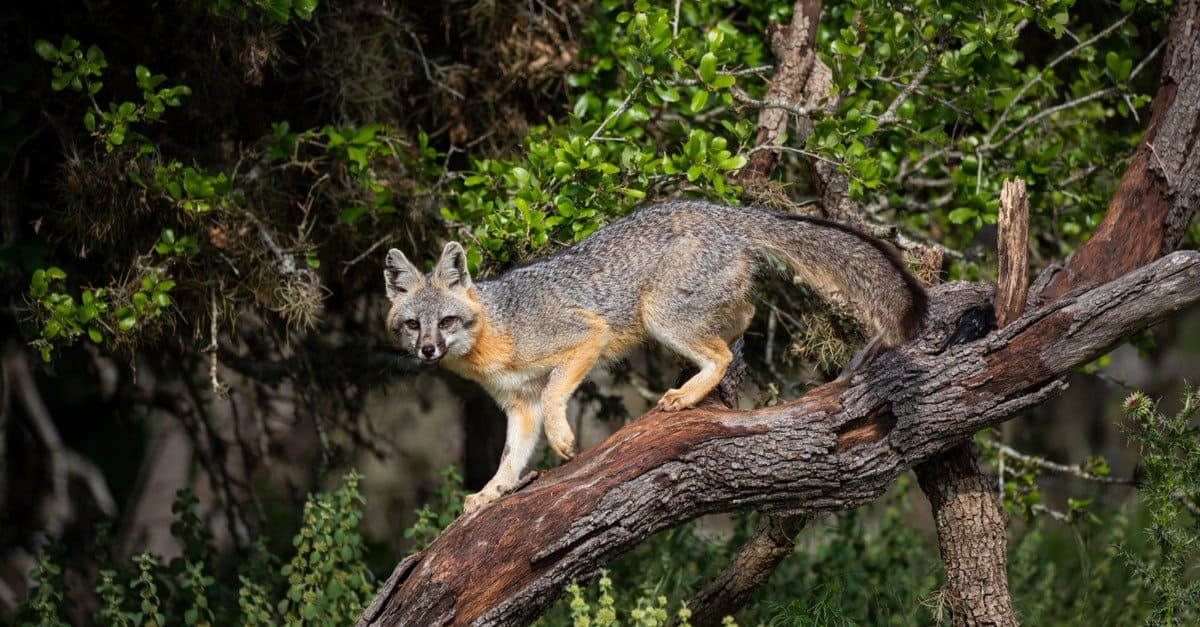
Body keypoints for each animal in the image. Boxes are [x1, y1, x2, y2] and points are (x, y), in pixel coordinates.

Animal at [383, 200, 927, 514]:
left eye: (446, 322)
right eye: (413, 325)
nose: (428, 350)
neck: (497, 333)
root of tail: (727, 211)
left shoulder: (585, 335)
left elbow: (558, 391)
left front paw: (564, 439)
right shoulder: (519, 406)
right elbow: (510, 459)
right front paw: (492, 493)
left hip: (659, 315)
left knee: (721, 351)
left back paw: (687, 396)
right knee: (746, 311)